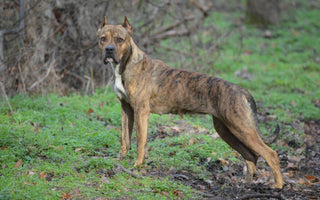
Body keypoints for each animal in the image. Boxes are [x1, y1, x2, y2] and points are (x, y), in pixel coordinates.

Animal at [97, 16, 282, 188]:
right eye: (103, 38)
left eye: (120, 39)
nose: (109, 50)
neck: (126, 65)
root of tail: (241, 90)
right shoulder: (126, 109)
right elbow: (125, 139)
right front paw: (119, 162)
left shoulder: (141, 111)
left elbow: (140, 142)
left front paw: (137, 166)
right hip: (226, 130)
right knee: (251, 156)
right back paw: (246, 183)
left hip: (242, 128)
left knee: (270, 154)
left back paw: (278, 185)